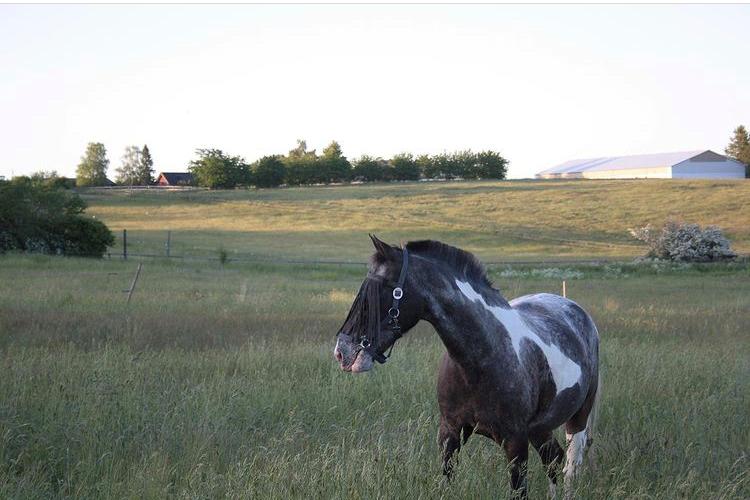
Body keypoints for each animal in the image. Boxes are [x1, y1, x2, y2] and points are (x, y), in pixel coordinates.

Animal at [338, 236, 604, 498]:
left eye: (381, 288)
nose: (342, 352)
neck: (479, 360)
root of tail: (576, 310)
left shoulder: (515, 443)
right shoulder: (450, 433)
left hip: (577, 419)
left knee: (569, 466)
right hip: (540, 428)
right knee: (553, 459)